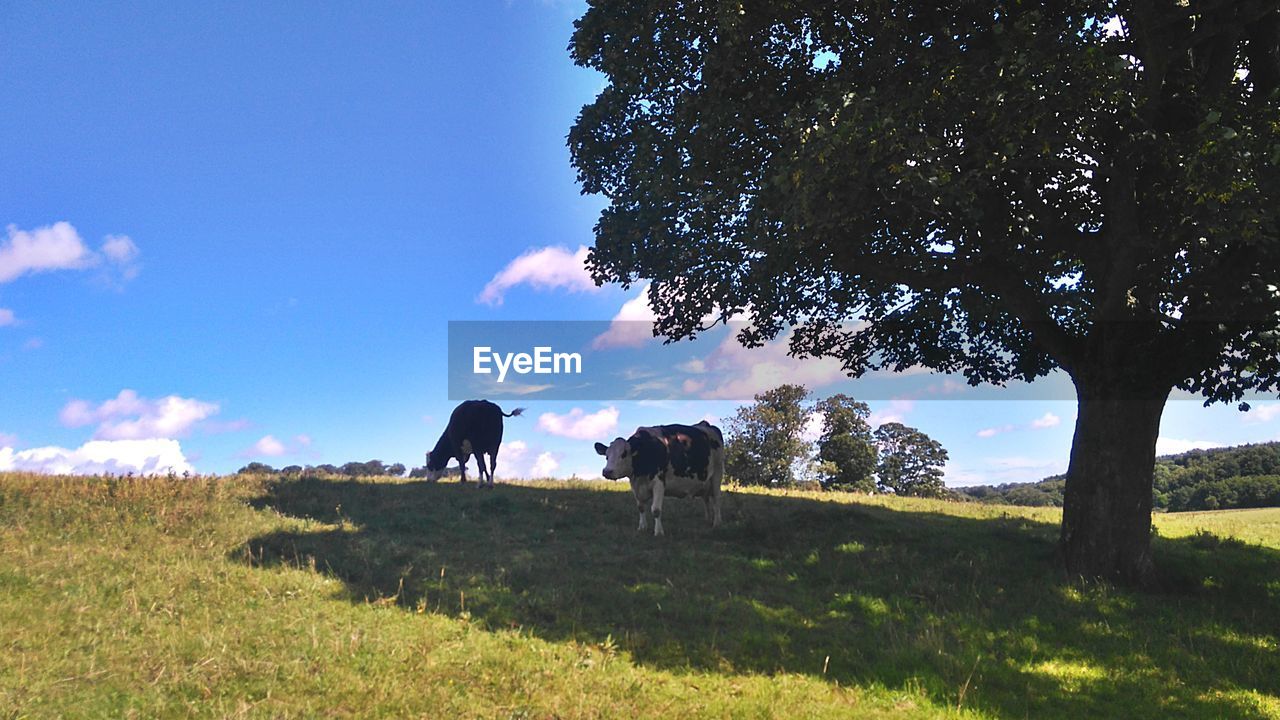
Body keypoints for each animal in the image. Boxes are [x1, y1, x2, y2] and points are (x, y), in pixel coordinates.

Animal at [596, 420, 727, 532]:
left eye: (623, 454)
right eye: (606, 456)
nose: (607, 471)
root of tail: (706, 425)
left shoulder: (659, 482)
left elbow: (656, 510)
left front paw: (658, 532)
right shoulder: (635, 485)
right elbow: (641, 507)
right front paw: (642, 527)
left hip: (717, 472)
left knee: (716, 498)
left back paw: (717, 523)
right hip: (704, 481)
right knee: (706, 499)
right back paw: (708, 520)